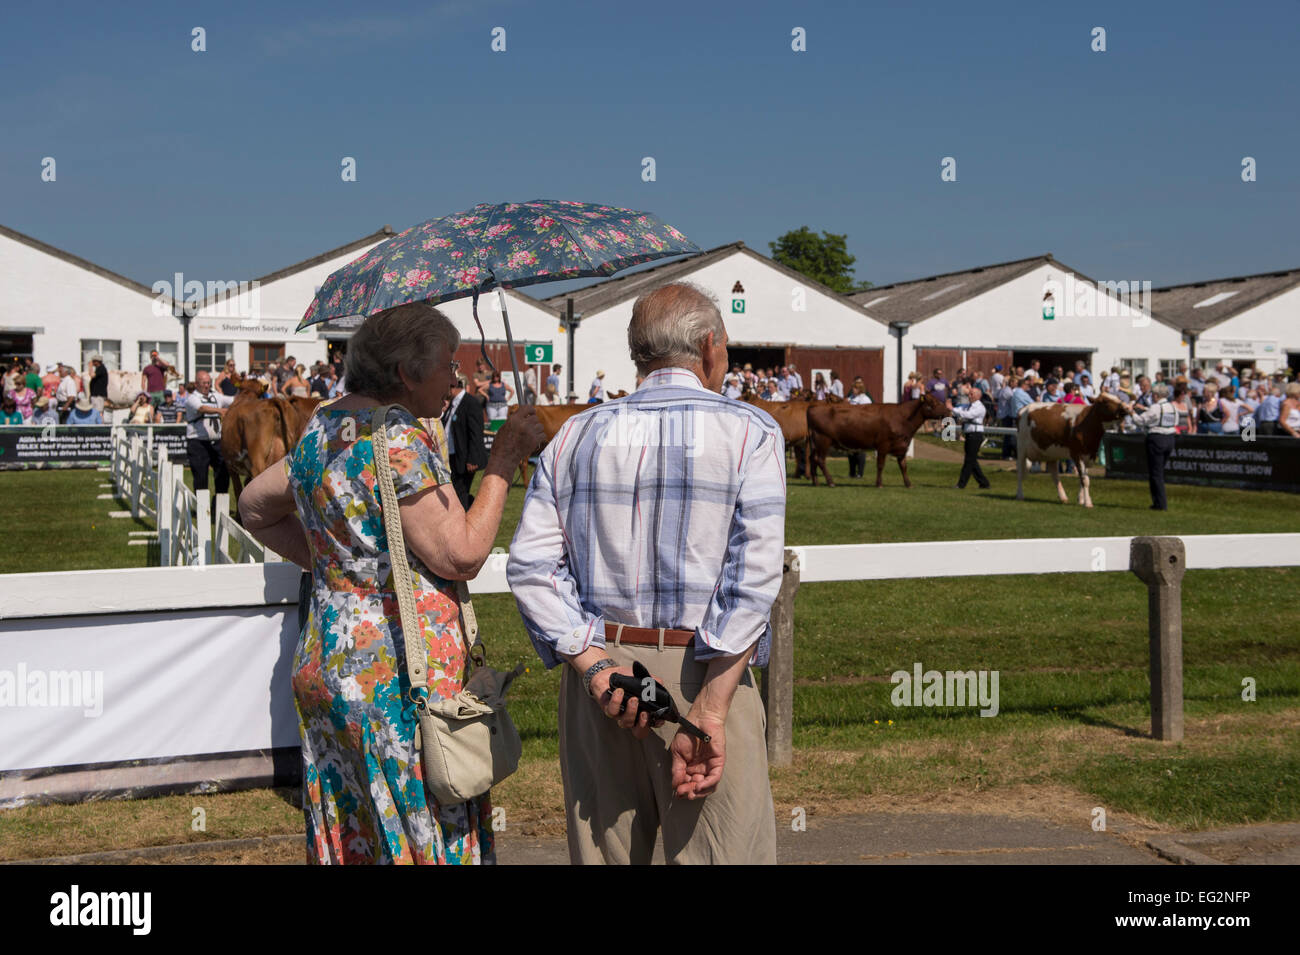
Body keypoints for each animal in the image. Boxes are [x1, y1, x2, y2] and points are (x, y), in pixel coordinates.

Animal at [800, 394, 946, 488]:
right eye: (933, 403)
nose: (948, 410)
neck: (902, 418)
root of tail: (813, 406)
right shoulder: (883, 445)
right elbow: (880, 465)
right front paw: (879, 484)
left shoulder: (902, 447)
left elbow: (903, 466)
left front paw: (908, 484)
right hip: (823, 440)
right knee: (820, 460)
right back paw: (830, 482)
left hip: (816, 443)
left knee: (812, 458)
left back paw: (815, 482)